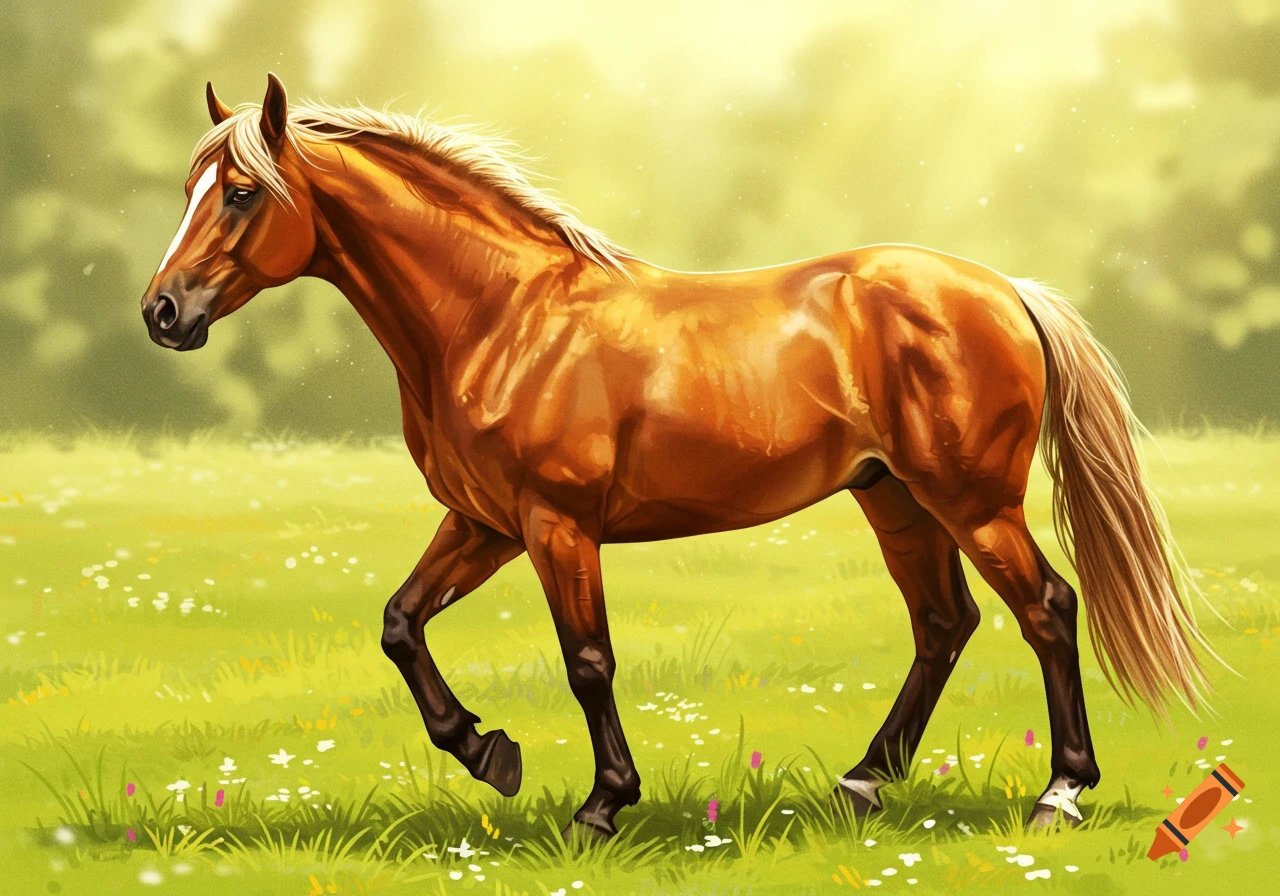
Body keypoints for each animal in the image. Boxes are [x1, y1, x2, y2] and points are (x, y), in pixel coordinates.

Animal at [141, 74, 1214, 840]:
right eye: (187, 190)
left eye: (241, 193)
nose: (163, 313)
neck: (501, 316)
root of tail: (1003, 290)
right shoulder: (485, 522)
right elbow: (401, 625)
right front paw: (490, 753)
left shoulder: (555, 524)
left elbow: (586, 661)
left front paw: (600, 805)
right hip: (895, 500)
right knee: (944, 624)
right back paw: (862, 783)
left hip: (972, 500)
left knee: (1047, 609)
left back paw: (1059, 795)